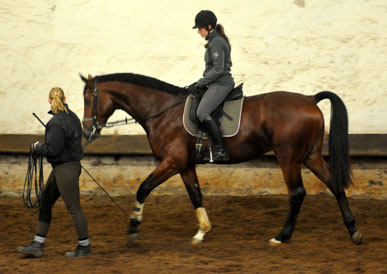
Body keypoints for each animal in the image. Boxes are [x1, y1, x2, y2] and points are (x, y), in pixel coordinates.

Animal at [80, 72, 362, 244]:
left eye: (88, 98)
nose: (87, 130)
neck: (163, 112)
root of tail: (310, 99)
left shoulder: (172, 161)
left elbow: (143, 188)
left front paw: (133, 225)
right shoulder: (185, 164)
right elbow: (195, 195)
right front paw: (202, 232)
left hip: (289, 158)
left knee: (297, 193)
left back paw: (281, 236)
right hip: (310, 156)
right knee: (335, 185)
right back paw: (353, 230)